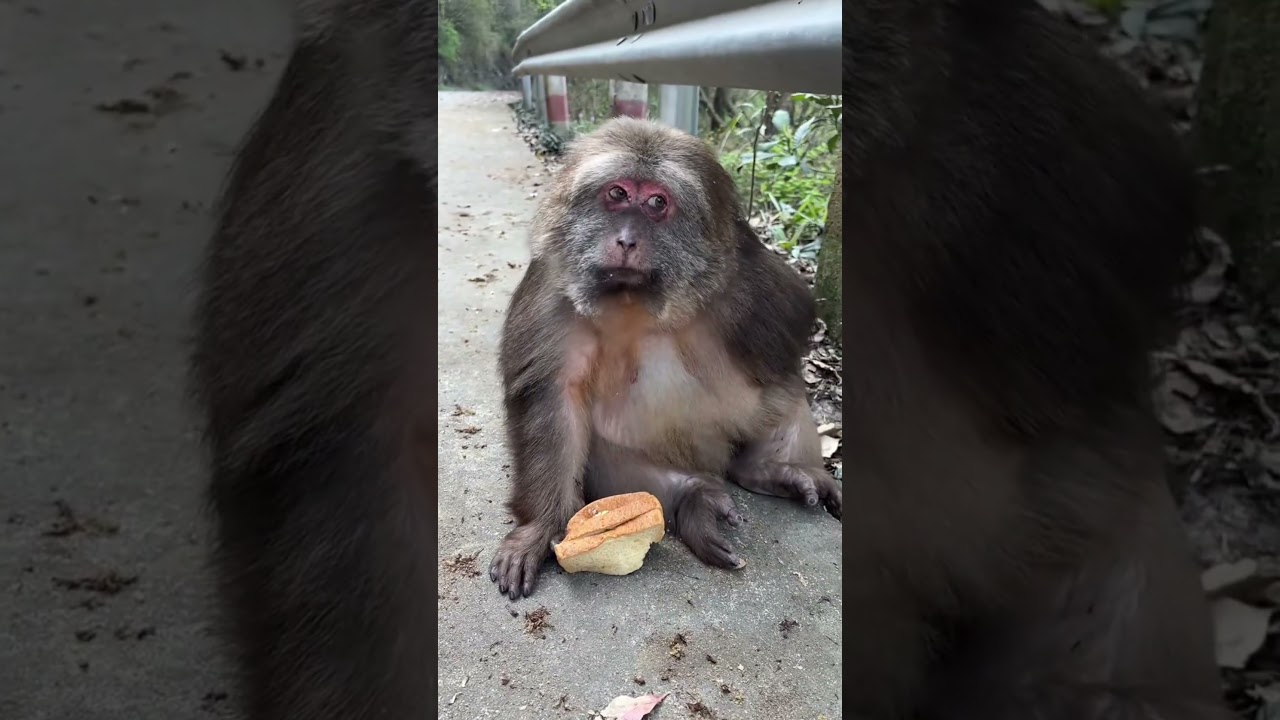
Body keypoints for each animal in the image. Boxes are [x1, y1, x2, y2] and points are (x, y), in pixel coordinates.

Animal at [489, 118, 843, 599]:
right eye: (617, 194)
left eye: (657, 202)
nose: (626, 240)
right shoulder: (552, 285)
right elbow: (552, 396)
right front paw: (538, 529)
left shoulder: (746, 270)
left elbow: (791, 317)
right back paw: (694, 497)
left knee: (783, 393)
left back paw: (770, 468)